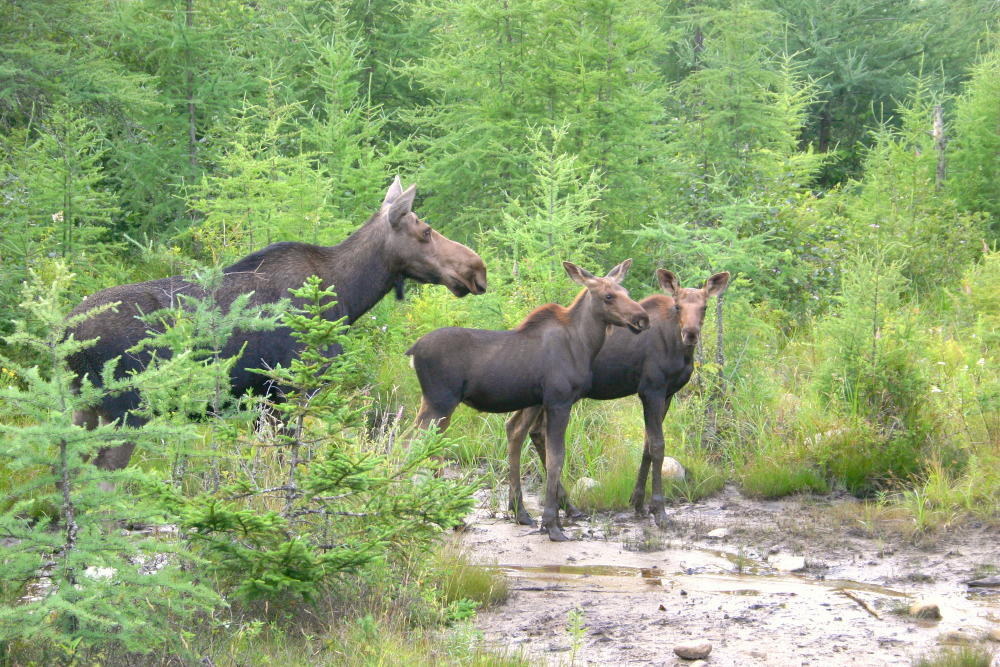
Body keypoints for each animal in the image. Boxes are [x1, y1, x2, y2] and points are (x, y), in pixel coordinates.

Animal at [68, 177, 486, 470]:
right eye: (425, 231)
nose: (477, 268)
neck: (348, 295)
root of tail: (66, 334)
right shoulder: (290, 388)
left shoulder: (260, 401)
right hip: (127, 408)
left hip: (85, 408)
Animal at [406, 260, 648, 544]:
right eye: (608, 296)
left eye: (626, 291)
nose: (642, 318)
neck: (585, 344)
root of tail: (412, 351)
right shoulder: (559, 400)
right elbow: (556, 457)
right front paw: (552, 525)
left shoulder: (536, 400)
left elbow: (519, 437)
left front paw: (527, 513)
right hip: (441, 401)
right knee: (414, 444)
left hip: (435, 404)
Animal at [508, 268, 728, 528]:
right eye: (677, 306)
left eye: (704, 307)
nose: (691, 334)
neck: (679, 350)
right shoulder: (651, 389)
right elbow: (658, 446)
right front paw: (659, 510)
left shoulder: (668, 394)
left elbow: (647, 445)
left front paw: (639, 503)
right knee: (520, 430)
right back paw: (526, 510)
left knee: (527, 430)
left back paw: (560, 507)